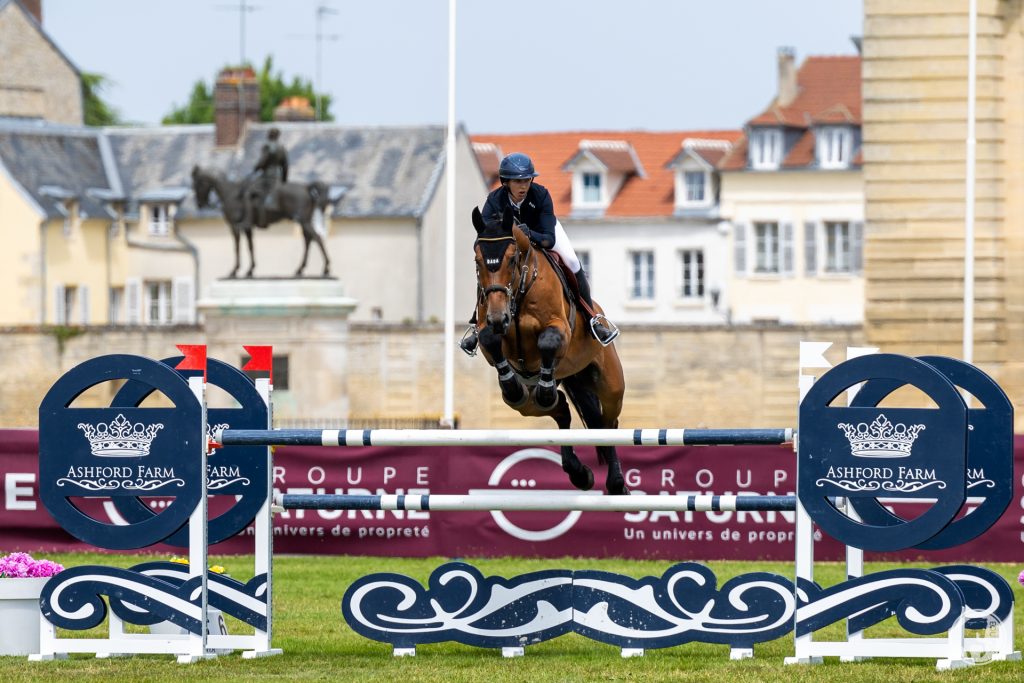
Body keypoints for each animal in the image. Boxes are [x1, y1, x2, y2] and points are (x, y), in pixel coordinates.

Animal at [191, 164, 331, 278]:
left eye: (198, 184)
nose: (199, 204)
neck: (230, 193)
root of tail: (306, 187)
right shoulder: (247, 228)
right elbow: (250, 246)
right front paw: (250, 270)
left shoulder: (235, 227)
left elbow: (237, 247)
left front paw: (234, 270)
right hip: (304, 221)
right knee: (308, 240)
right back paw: (300, 269)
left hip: (303, 221)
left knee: (317, 238)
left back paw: (325, 268)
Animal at [468, 205, 626, 493]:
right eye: (478, 262)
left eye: (511, 260)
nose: (498, 318)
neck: (519, 291)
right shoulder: (490, 334)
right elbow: (490, 340)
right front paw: (512, 384)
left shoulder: (559, 328)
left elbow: (548, 342)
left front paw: (544, 387)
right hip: (536, 398)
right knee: (558, 406)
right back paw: (579, 473)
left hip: (610, 385)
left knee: (607, 424)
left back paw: (617, 483)